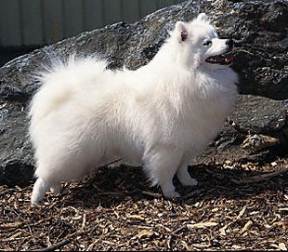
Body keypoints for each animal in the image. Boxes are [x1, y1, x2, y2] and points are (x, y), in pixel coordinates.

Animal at [29, 13, 237, 205]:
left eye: (217, 35)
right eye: (207, 43)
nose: (230, 41)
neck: (190, 76)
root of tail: (64, 92)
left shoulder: (189, 142)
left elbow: (182, 168)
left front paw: (188, 181)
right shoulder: (167, 147)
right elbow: (167, 173)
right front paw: (170, 192)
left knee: (52, 176)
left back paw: (56, 190)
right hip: (71, 153)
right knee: (43, 175)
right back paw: (36, 199)